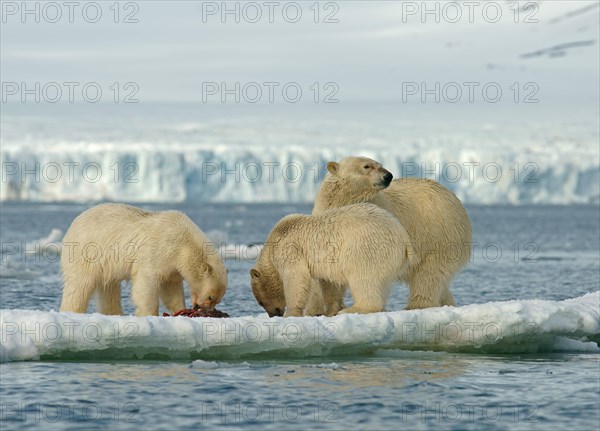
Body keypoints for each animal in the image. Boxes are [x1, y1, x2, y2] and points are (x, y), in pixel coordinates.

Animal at [60, 202, 227, 318]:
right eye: (210, 297)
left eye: (217, 300)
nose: (201, 308)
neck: (183, 242)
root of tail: (74, 223)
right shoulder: (159, 249)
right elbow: (147, 283)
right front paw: (149, 314)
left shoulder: (172, 264)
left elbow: (170, 286)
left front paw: (180, 309)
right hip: (87, 252)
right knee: (80, 285)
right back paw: (71, 311)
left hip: (106, 265)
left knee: (109, 287)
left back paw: (115, 313)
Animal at [248, 202, 412, 318]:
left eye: (260, 301)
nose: (273, 314)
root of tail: (403, 236)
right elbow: (329, 283)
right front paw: (331, 310)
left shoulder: (290, 249)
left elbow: (296, 278)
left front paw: (291, 313)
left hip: (366, 246)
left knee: (363, 278)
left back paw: (353, 309)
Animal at [310, 157, 474, 312]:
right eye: (367, 166)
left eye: (379, 164)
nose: (388, 176)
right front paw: (326, 308)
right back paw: (447, 303)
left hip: (439, 235)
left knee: (429, 274)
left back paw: (417, 305)